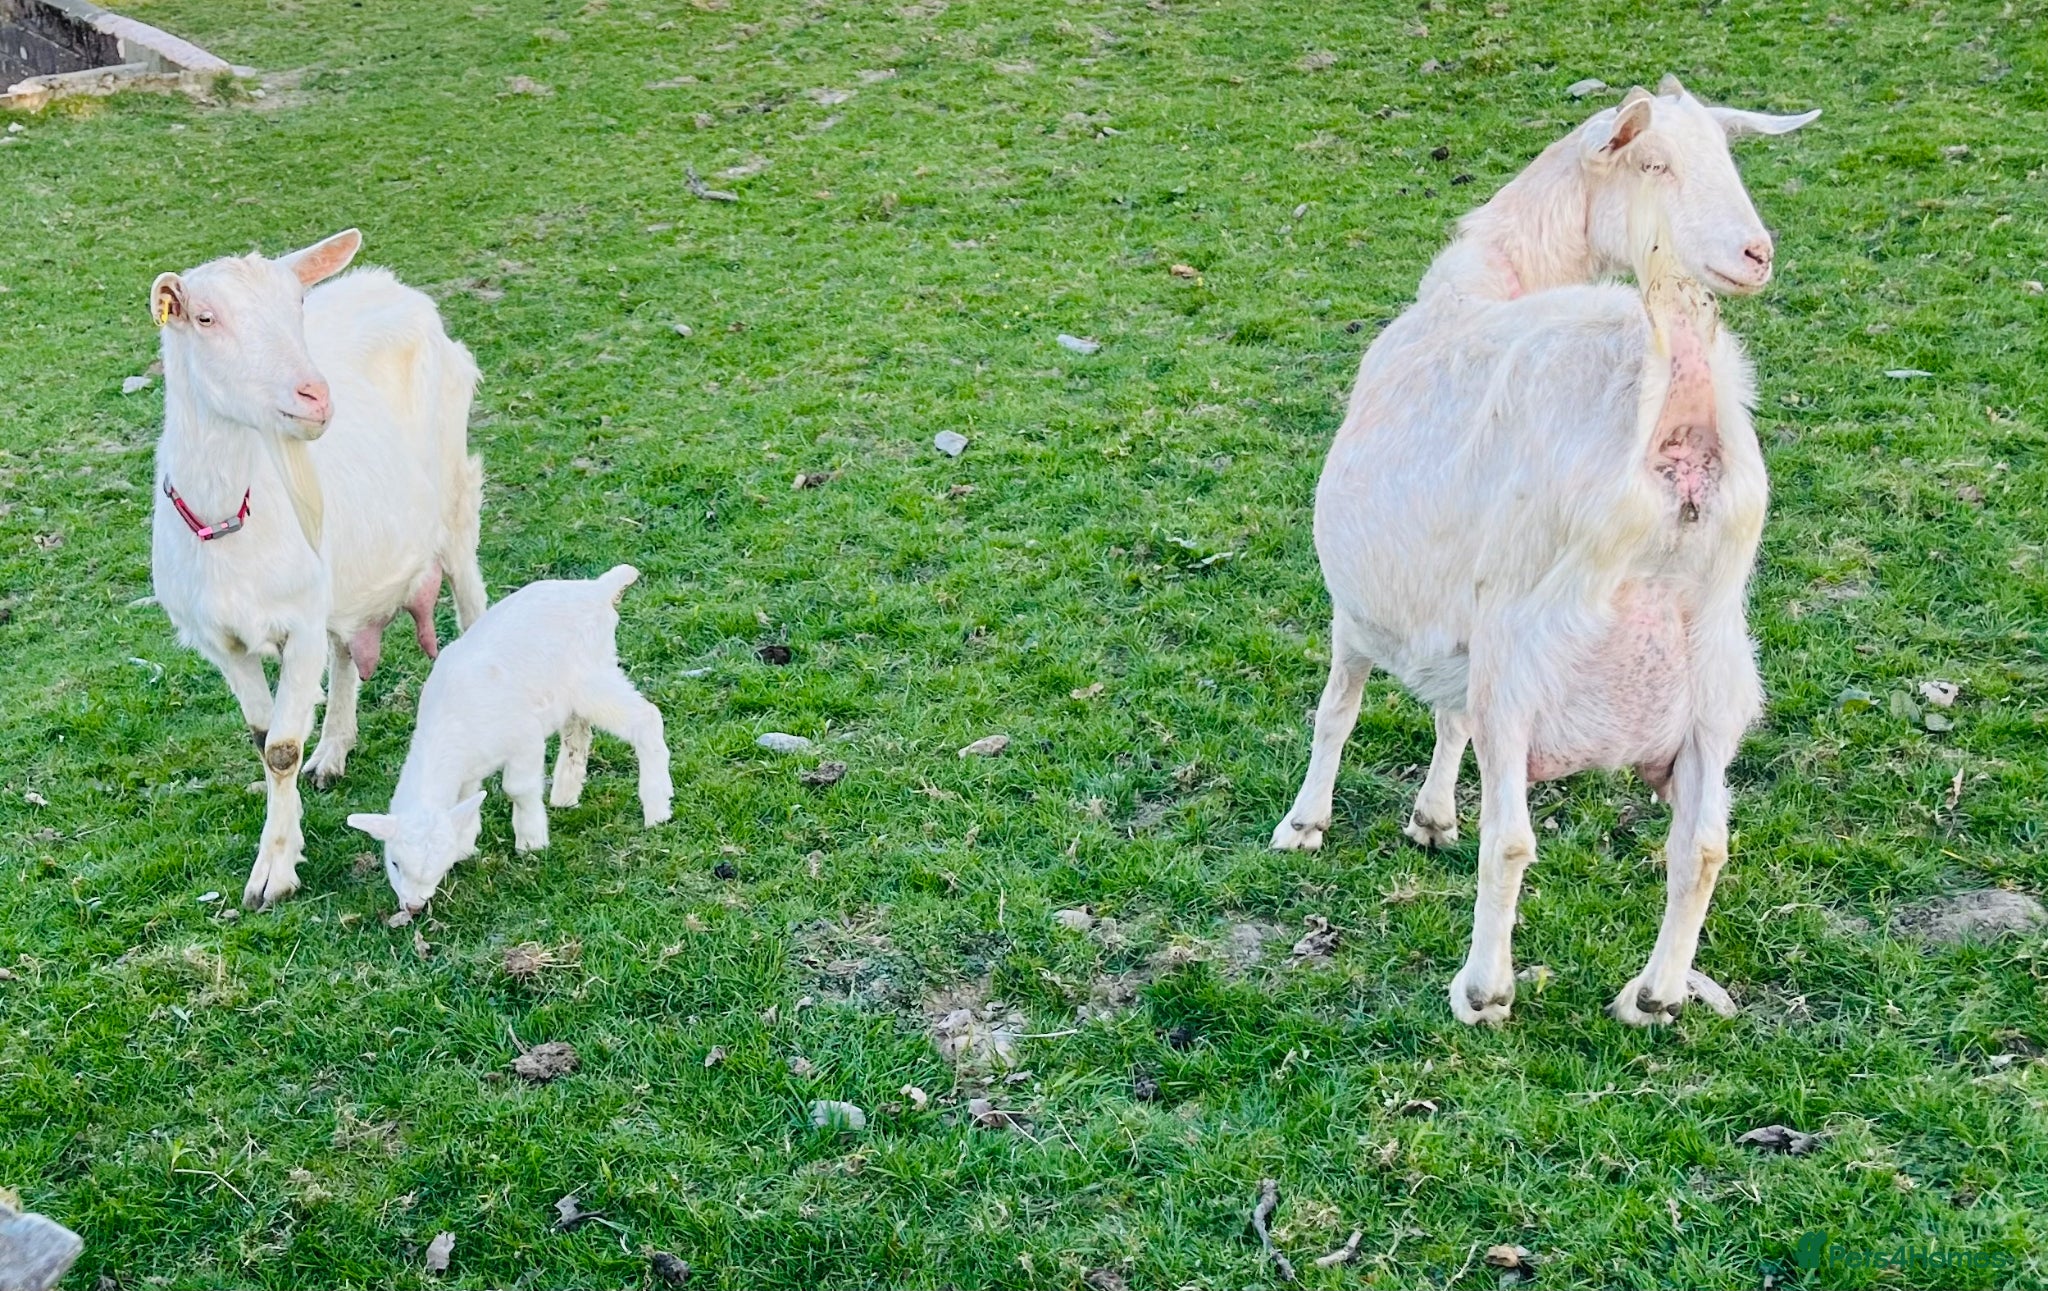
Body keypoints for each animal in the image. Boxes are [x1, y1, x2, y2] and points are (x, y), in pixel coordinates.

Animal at [150, 230, 488, 909]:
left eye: (297, 305)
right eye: (205, 317)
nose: (316, 396)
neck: (228, 520)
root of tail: (392, 286)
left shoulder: (298, 624)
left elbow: (280, 748)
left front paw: (272, 874)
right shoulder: (222, 641)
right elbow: (263, 741)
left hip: (456, 496)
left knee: (471, 600)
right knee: (346, 643)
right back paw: (333, 749)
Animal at [347, 565, 673, 918]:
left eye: (438, 866)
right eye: (394, 862)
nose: (414, 906)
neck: (448, 724)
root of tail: (597, 589)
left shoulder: (524, 738)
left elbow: (516, 788)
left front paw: (531, 842)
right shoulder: (467, 768)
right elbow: (467, 797)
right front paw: (466, 844)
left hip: (592, 676)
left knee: (647, 718)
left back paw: (657, 808)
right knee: (579, 730)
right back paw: (565, 795)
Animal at [1269, 81, 1818, 1025]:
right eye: (1656, 162)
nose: (1756, 253)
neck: (1489, 281)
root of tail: (1681, 425)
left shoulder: (1368, 607)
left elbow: (1338, 708)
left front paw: (1307, 822)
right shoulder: (1461, 614)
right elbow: (1441, 717)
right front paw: (1430, 816)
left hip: (1527, 658)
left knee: (1514, 840)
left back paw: (1485, 988)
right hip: (1714, 676)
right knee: (1702, 846)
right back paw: (1656, 994)